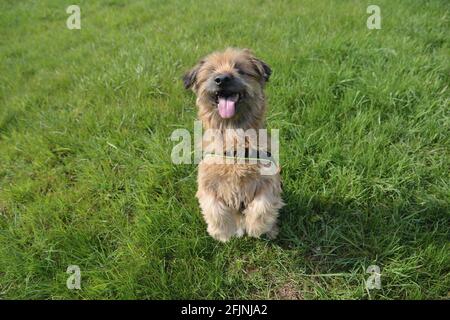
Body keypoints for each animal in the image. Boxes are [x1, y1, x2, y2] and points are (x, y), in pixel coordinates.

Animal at [182, 47, 282, 241]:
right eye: (212, 71)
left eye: (240, 70)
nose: (222, 79)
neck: (233, 136)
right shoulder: (207, 182)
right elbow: (214, 208)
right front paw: (223, 233)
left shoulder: (268, 179)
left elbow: (262, 204)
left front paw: (256, 228)